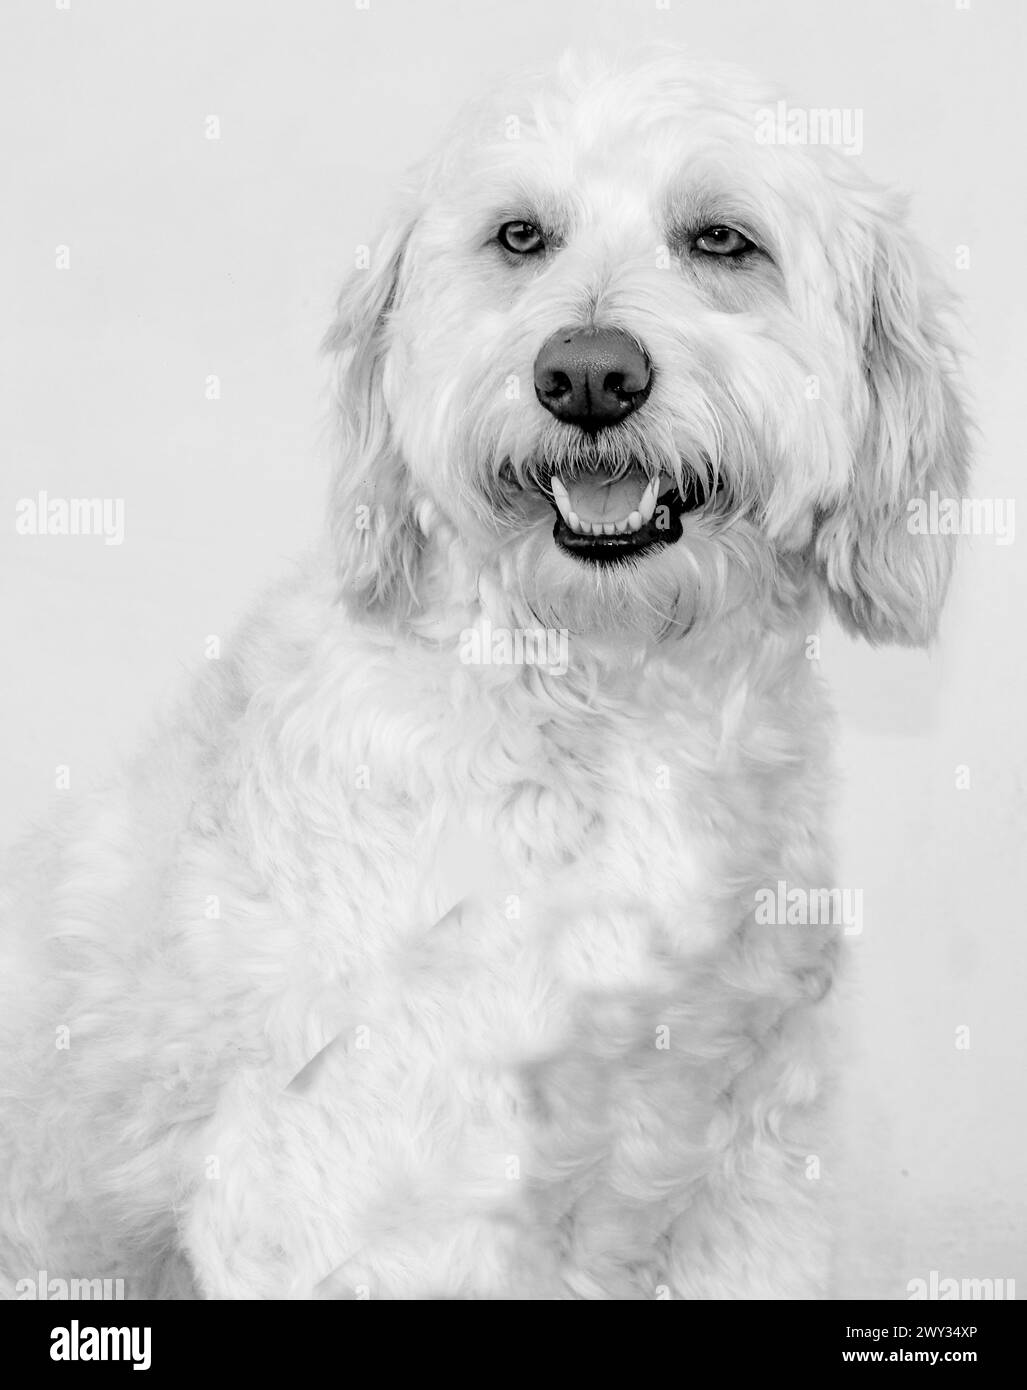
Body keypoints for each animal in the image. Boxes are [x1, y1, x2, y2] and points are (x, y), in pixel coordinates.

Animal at [0, 48, 967, 1295]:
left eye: (721, 239)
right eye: (519, 236)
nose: (588, 375)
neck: (609, 703)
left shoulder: (748, 1177)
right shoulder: (371, 1186)